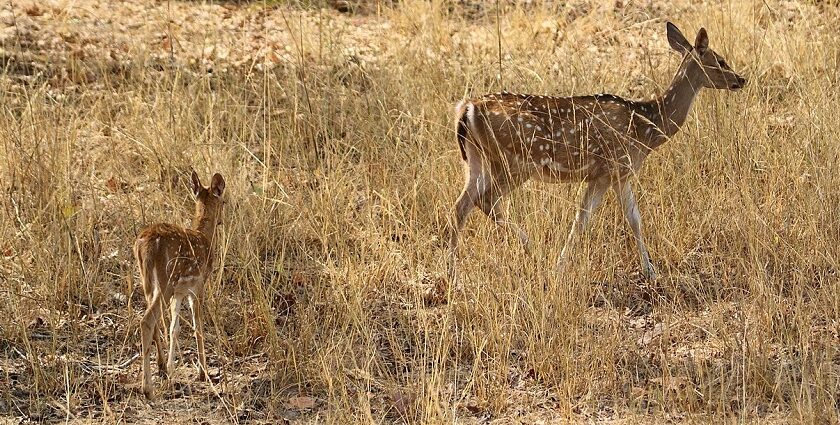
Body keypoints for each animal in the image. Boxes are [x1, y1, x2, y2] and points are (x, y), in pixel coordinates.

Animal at [135, 170, 226, 398]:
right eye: (224, 201)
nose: (221, 221)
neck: (205, 236)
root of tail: (146, 244)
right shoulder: (198, 285)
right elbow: (197, 325)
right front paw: (203, 373)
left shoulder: (179, 292)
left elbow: (174, 328)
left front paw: (170, 369)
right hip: (166, 280)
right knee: (147, 320)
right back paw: (147, 388)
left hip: (147, 281)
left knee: (155, 321)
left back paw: (160, 369)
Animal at [450, 23, 744, 282]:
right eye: (720, 60)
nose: (741, 79)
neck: (646, 127)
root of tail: (467, 109)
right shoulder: (615, 168)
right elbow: (614, 220)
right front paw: (648, 271)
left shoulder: (605, 175)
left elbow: (603, 219)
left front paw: (647, 270)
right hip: (516, 161)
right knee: (486, 200)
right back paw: (531, 249)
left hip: (476, 160)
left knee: (461, 205)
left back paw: (453, 271)